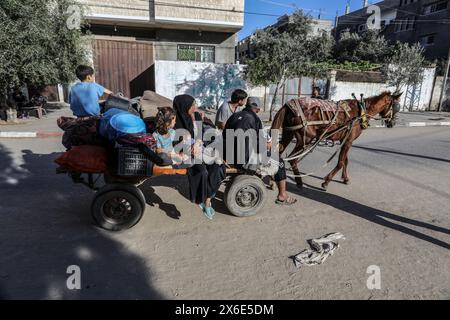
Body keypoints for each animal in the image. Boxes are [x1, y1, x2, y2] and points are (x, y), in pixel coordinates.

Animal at [272, 90, 402, 190]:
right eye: (397, 107)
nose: (393, 123)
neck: (362, 112)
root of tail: (288, 105)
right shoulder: (348, 141)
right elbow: (340, 163)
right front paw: (326, 181)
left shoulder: (345, 140)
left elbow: (345, 161)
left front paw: (345, 179)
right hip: (305, 139)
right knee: (292, 160)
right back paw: (299, 182)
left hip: (288, 133)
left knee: (278, 154)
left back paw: (273, 180)